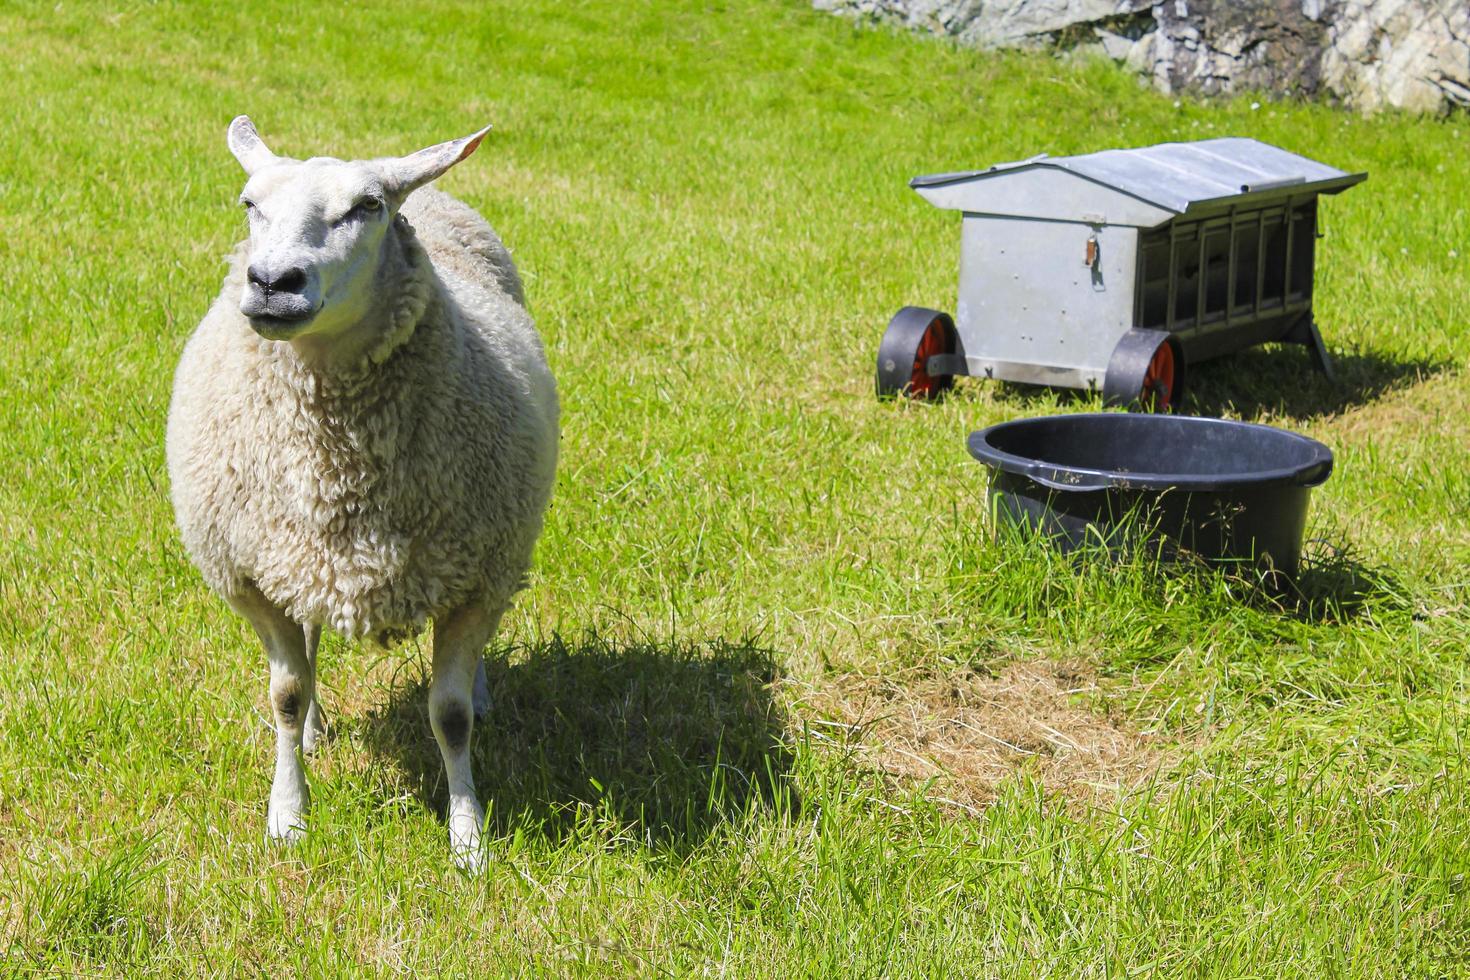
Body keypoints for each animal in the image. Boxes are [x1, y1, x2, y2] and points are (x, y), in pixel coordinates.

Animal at [166, 119, 555, 869]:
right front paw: (288, 814)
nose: (272, 282)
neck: (337, 464)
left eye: (367, 207)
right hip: (299, 559)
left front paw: (468, 837)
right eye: (250, 204)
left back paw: (484, 693)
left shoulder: (476, 574)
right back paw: (317, 727)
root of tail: (423, 190)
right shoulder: (254, 576)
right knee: (310, 643)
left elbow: (450, 716)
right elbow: (285, 695)